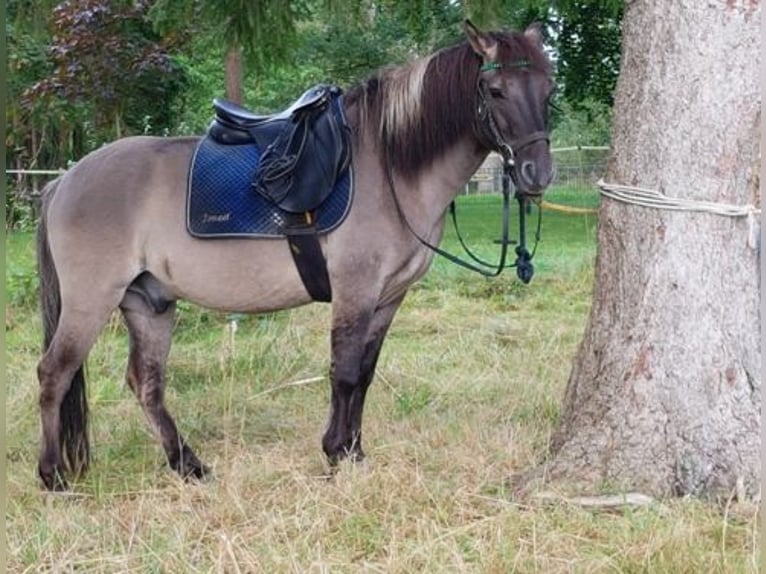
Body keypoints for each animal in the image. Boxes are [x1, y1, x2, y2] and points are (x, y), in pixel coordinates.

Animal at [35, 20, 554, 490]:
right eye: (495, 90)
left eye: (548, 91)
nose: (538, 173)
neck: (389, 165)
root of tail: (64, 181)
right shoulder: (355, 291)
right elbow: (344, 373)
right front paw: (335, 453)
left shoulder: (388, 299)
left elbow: (365, 375)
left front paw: (356, 452)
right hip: (91, 301)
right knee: (54, 373)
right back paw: (52, 475)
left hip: (149, 303)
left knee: (145, 383)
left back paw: (188, 465)